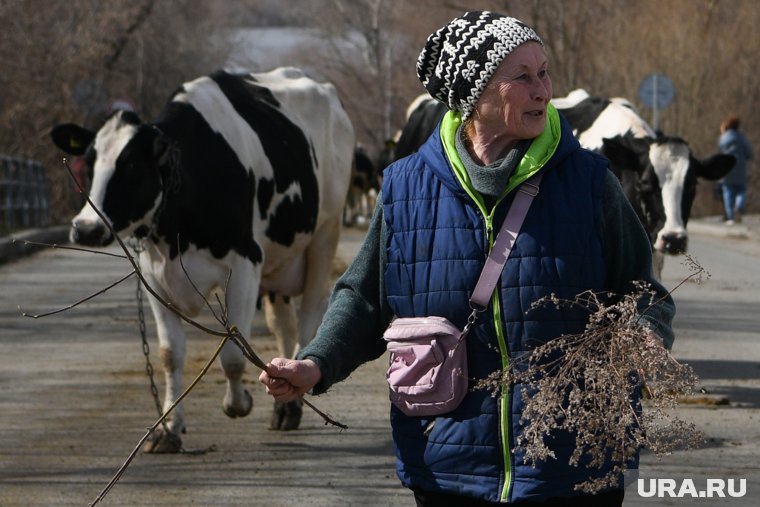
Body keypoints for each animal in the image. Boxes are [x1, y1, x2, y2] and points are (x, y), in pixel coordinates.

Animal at [53, 65, 356, 450]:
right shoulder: (153, 274)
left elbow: (233, 354)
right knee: (283, 326)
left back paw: (292, 406)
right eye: (89, 162)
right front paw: (169, 428)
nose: (86, 228)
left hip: (324, 235)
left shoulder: (245, 263)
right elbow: (170, 355)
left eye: (132, 163)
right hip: (279, 260)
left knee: (308, 322)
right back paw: (283, 407)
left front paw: (238, 404)